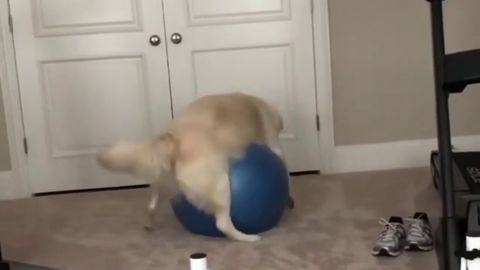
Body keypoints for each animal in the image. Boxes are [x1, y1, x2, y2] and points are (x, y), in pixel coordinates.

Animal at [95, 92, 286, 242]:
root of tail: (174, 139)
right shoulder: (273, 143)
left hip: (163, 182)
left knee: (151, 205)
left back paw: (150, 223)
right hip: (220, 186)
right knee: (223, 224)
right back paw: (247, 237)